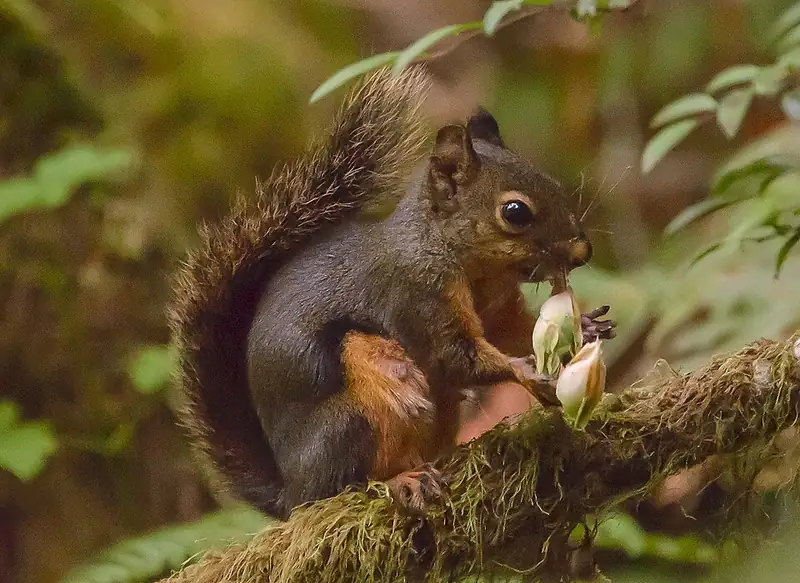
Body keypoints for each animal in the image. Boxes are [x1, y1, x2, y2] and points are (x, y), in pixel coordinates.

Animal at [167, 67, 614, 521]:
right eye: (515, 212)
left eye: (553, 182)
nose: (583, 251)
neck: (471, 267)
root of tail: (291, 493)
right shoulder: (415, 295)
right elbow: (453, 356)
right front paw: (525, 371)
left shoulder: (497, 308)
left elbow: (510, 332)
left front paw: (587, 326)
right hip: (357, 412)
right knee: (349, 481)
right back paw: (401, 480)